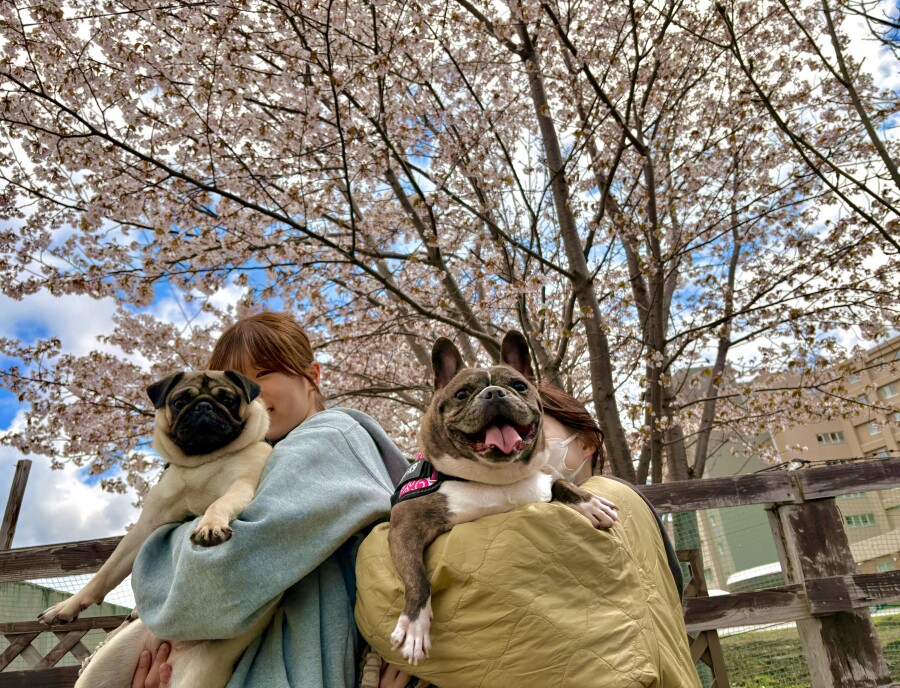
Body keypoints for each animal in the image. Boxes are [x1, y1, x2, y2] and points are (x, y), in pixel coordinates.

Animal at [39, 370, 274, 688]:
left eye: (228, 400)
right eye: (179, 402)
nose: (204, 407)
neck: (203, 461)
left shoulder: (241, 486)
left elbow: (219, 503)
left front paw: (210, 525)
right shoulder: (146, 527)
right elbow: (104, 574)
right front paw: (66, 607)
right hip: (100, 672)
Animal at [387, 332, 617, 666]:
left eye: (518, 386)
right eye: (462, 394)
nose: (495, 393)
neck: (495, 479)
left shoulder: (545, 475)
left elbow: (564, 483)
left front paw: (591, 503)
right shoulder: (405, 527)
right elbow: (416, 576)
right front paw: (415, 626)